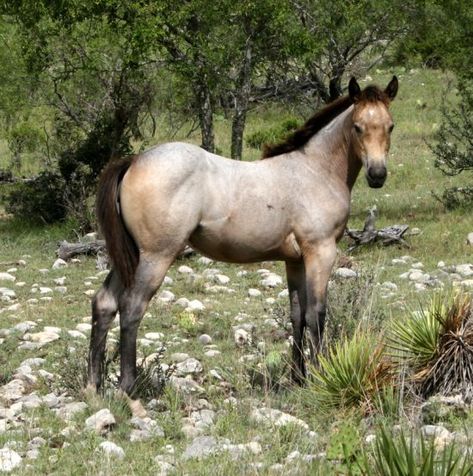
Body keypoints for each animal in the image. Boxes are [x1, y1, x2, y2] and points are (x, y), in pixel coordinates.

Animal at [86, 75, 396, 406]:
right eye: (358, 127)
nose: (377, 174)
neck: (315, 170)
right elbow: (317, 314)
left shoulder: (295, 260)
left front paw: (298, 378)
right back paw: (127, 387)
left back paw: (94, 386)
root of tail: (134, 160)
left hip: (129, 255)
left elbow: (297, 315)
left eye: (390, 126)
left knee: (104, 303)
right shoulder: (320, 251)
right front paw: (321, 377)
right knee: (132, 307)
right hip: (155, 256)